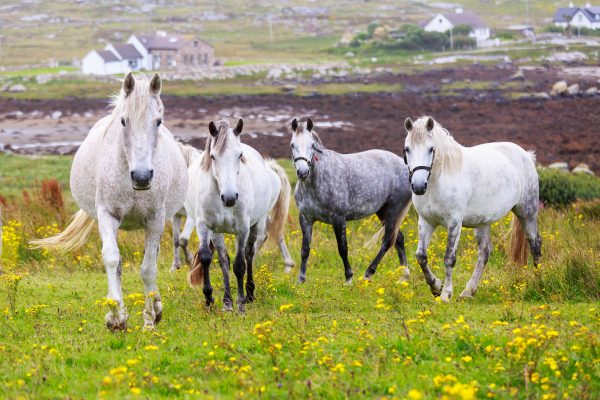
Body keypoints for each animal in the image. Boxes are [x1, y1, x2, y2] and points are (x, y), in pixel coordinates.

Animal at [29, 73, 185, 330]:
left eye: (158, 121)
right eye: (123, 121)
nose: (141, 176)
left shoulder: (154, 220)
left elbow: (148, 268)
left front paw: (150, 319)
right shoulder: (108, 215)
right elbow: (112, 259)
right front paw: (116, 317)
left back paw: (157, 306)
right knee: (119, 262)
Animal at [170, 142, 294, 274]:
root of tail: (270, 169)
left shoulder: (193, 218)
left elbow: (183, 239)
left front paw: (189, 261)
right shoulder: (176, 216)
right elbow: (176, 240)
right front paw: (175, 266)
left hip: (261, 215)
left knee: (262, 236)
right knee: (275, 231)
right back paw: (288, 264)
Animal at [188, 119, 290, 312]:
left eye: (239, 155)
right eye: (213, 156)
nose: (229, 197)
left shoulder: (242, 229)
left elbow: (239, 265)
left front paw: (241, 303)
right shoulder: (207, 226)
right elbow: (209, 258)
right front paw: (213, 300)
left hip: (257, 224)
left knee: (249, 254)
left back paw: (250, 293)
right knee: (224, 260)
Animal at [290, 118, 412, 284]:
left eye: (312, 145)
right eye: (292, 145)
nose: (303, 173)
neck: (317, 181)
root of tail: (408, 168)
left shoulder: (338, 218)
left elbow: (343, 248)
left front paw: (348, 278)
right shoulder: (306, 219)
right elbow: (305, 249)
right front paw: (301, 279)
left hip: (394, 209)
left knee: (387, 240)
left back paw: (368, 273)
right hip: (383, 211)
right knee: (398, 239)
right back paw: (403, 276)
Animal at [404, 115, 540, 304]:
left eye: (431, 149)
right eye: (407, 149)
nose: (418, 186)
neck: (439, 180)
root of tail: (526, 155)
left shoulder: (454, 222)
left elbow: (449, 258)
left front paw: (445, 294)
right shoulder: (426, 222)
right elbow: (421, 256)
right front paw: (436, 287)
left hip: (527, 213)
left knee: (535, 245)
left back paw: (539, 281)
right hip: (483, 223)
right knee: (484, 253)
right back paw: (468, 291)